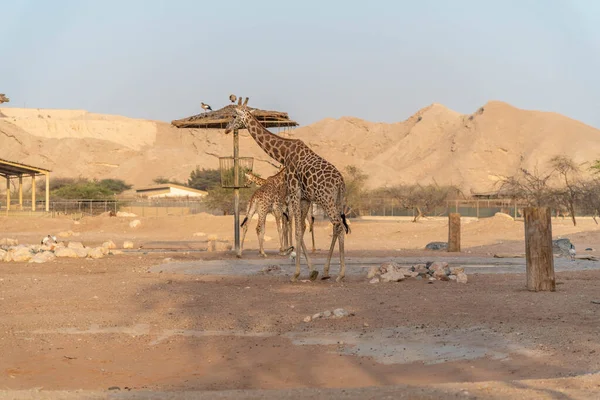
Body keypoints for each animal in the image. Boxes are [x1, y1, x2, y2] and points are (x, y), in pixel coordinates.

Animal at [225, 99, 350, 282]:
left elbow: (297, 230)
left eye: (234, 116)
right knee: (337, 226)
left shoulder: (294, 192)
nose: (227, 128)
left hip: (325, 199)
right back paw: (327, 271)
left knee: (338, 225)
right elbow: (301, 229)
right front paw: (312, 270)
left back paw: (340, 273)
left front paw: (296, 273)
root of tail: (340, 183)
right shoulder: (304, 198)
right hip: (337, 200)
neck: (283, 154)